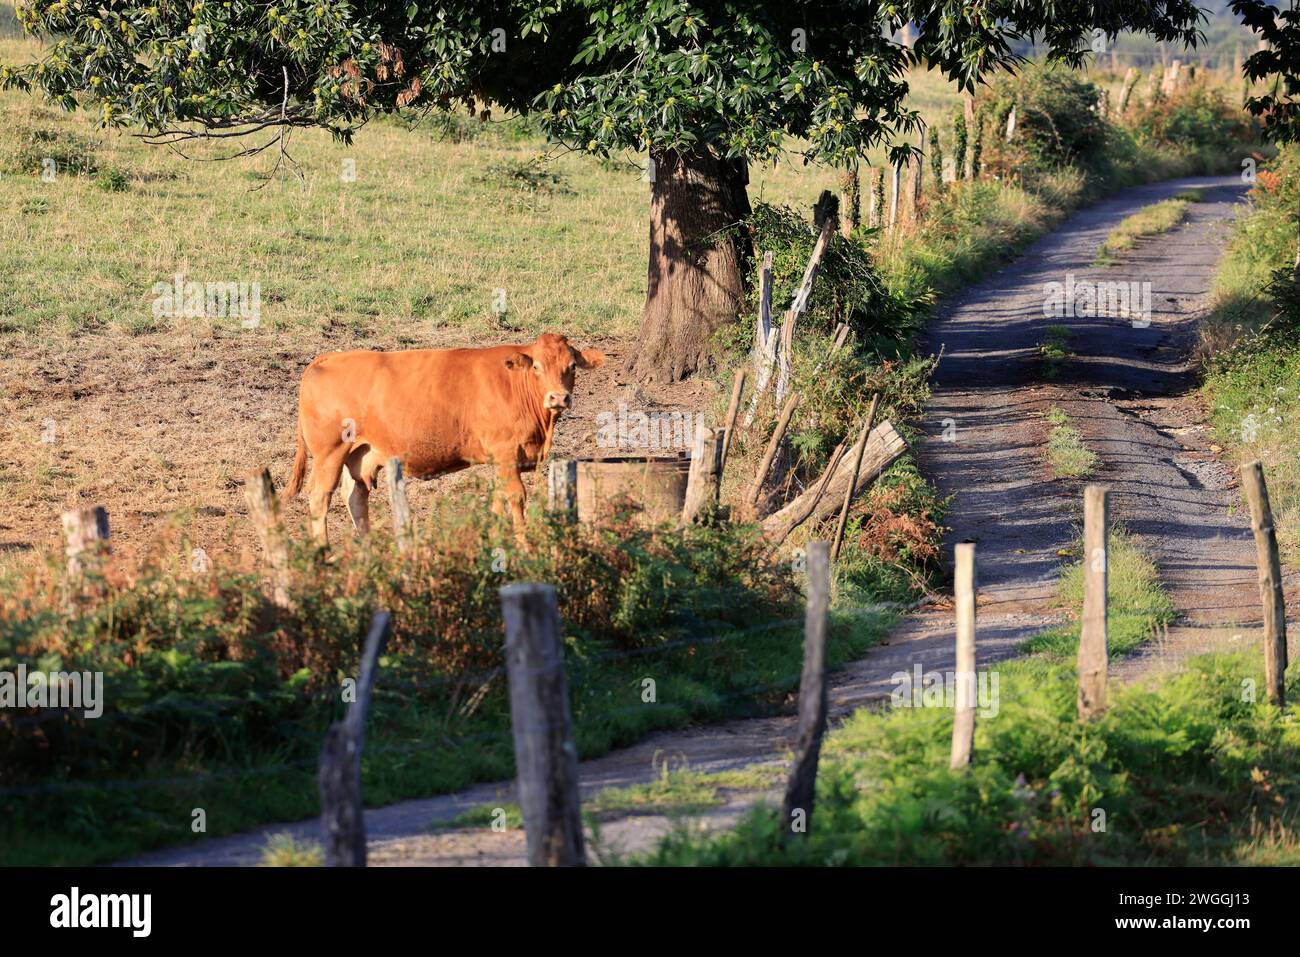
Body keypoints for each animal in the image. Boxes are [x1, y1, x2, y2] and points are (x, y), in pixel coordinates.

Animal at [283, 330, 603, 540]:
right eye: (537, 366)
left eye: (572, 367)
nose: (558, 398)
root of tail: (328, 358)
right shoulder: (505, 455)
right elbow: (516, 498)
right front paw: (524, 547)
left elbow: (498, 501)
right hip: (330, 453)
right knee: (320, 497)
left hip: (359, 453)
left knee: (355, 498)